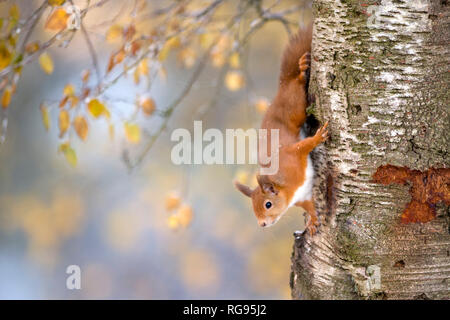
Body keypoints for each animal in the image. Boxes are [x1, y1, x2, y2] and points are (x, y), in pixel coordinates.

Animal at [236, 24, 326, 235]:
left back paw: (301, 72)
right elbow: (310, 206)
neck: (290, 191)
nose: (262, 224)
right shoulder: (303, 197)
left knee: (296, 85)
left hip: (295, 106)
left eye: (268, 204)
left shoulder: (292, 155)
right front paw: (312, 221)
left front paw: (318, 138)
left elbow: (303, 146)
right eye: (253, 208)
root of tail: (280, 90)